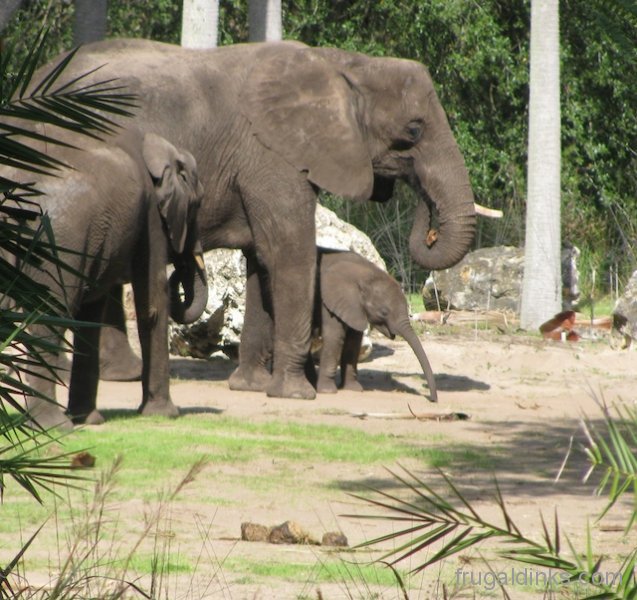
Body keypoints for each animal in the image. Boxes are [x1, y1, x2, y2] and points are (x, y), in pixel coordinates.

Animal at [314, 251, 438, 400]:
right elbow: (334, 336)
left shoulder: (354, 308)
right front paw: (328, 391)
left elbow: (353, 341)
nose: (433, 399)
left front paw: (353, 389)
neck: (365, 273)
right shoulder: (329, 301)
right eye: (384, 312)